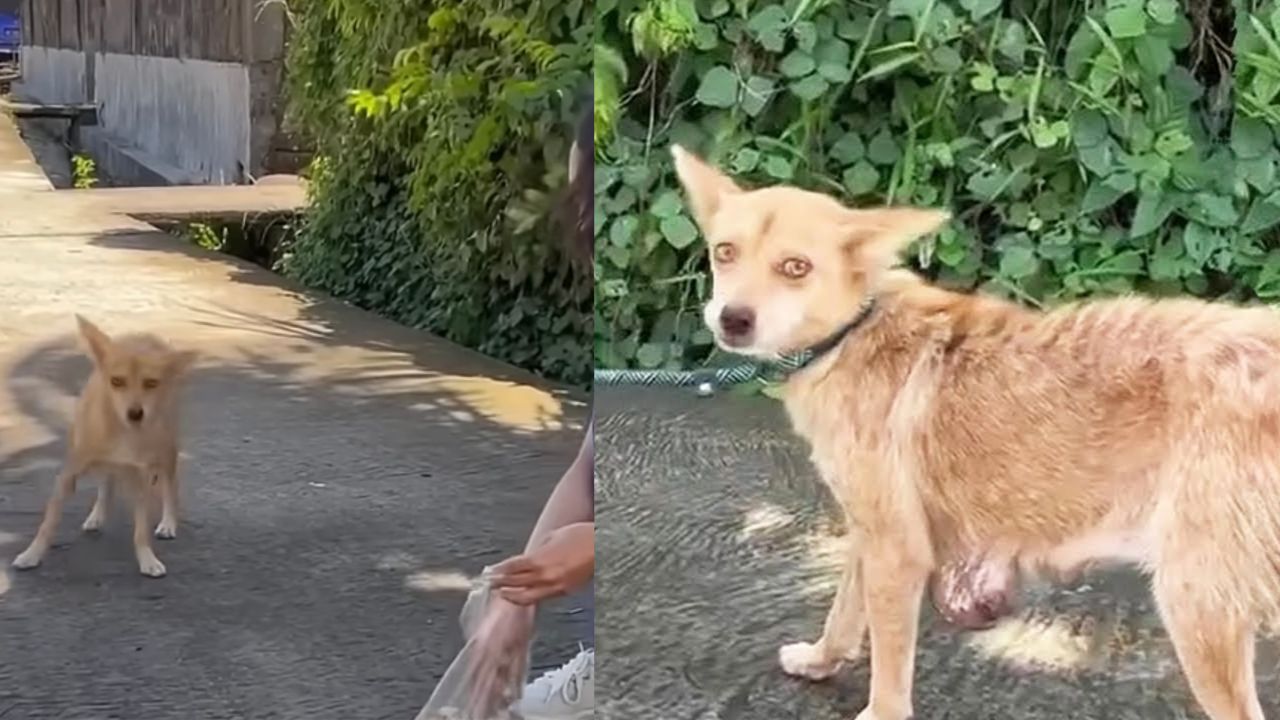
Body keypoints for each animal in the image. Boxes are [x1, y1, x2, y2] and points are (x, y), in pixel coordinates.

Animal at [11, 316, 197, 573]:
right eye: (116, 381)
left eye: (151, 383)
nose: (135, 414)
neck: (120, 430)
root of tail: (145, 335)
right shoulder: (68, 475)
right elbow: (49, 522)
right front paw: (31, 554)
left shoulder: (140, 481)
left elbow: (141, 530)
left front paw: (147, 559)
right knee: (106, 483)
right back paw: (97, 515)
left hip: (166, 450)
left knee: (170, 486)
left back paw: (168, 523)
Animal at [670, 141, 1280, 717]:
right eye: (725, 253)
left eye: (795, 267)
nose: (732, 318)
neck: (853, 333)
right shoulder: (872, 533)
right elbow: (843, 613)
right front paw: (822, 660)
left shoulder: (897, 552)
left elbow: (889, 670)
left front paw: (877, 709)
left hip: (1195, 604)